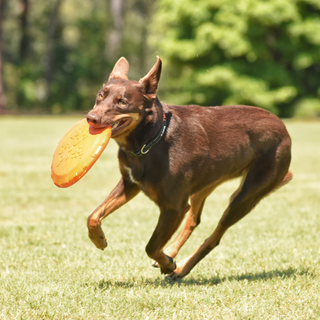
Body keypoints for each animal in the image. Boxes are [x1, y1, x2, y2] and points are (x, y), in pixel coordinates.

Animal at [85, 57, 292, 280]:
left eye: (122, 102)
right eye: (101, 95)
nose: (91, 117)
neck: (151, 140)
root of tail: (283, 127)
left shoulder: (173, 207)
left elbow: (151, 246)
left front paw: (168, 264)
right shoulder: (130, 184)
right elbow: (93, 216)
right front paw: (99, 240)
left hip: (246, 196)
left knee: (214, 236)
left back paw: (181, 268)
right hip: (205, 184)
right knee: (194, 219)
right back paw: (172, 251)